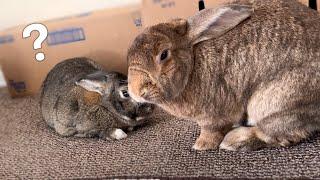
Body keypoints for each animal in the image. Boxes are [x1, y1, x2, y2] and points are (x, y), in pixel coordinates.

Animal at [127, 0, 320, 151]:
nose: (136, 91)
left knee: (279, 133)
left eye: (164, 55)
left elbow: (211, 131)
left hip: (274, 104)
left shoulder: (212, 117)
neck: (192, 64)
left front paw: (201, 145)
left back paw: (234, 141)